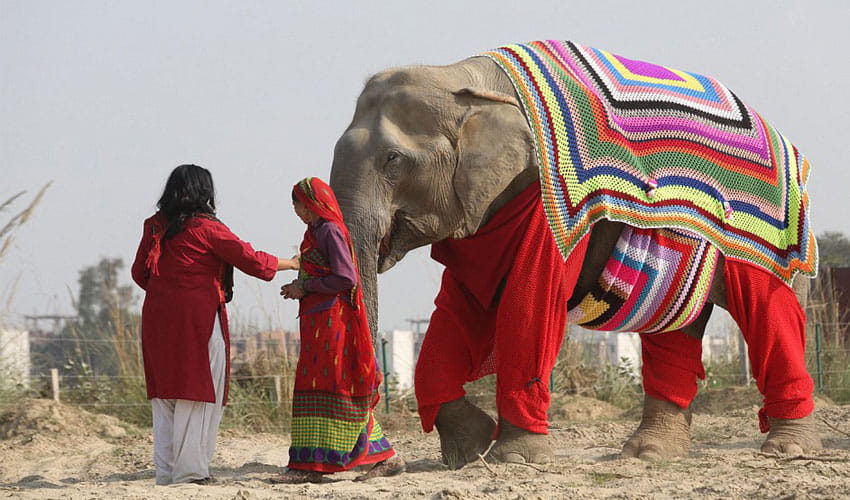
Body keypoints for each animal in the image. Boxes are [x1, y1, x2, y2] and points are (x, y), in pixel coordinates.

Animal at [328, 40, 822, 467]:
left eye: (393, 161)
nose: (383, 463)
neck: (461, 75)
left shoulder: (545, 201)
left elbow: (529, 301)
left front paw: (515, 459)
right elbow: (458, 306)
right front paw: (471, 451)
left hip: (773, 237)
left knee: (771, 312)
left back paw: (787, 450)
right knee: (675, 330)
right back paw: (648, 455)